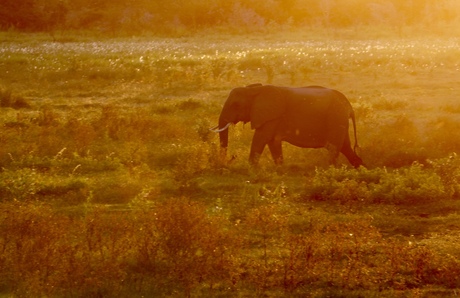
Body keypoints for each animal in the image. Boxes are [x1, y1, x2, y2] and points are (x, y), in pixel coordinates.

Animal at [210, 84, 364, 168]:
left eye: (235, 105)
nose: (231, 158)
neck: (255, 90)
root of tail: (349, 106)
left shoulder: (272, 116)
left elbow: (260, 138)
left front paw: (250, 168)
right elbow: (272, 141)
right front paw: (280, 168)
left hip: (335, 117)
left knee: (333, 147)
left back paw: (330, 169)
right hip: (339, 119)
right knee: (345, 147)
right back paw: (359, 167)